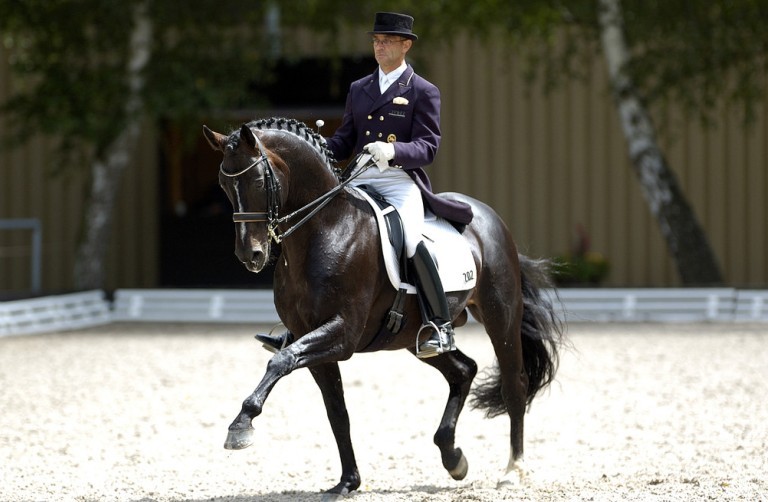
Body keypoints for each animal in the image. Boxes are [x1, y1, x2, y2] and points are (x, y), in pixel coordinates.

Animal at [202, 117, 565, 496]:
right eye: (224, 186)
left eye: (258, 181)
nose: (251, 255)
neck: (326, 229)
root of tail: (488, 216)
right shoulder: (311, 337)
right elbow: (336, 411)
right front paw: (347, 481)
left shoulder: (343, 334)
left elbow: (281, 360)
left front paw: (241, 425)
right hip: (413, 337)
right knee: (463, 370)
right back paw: (453, 457)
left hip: (500, 314)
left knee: (514, 383)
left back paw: (513, 469)